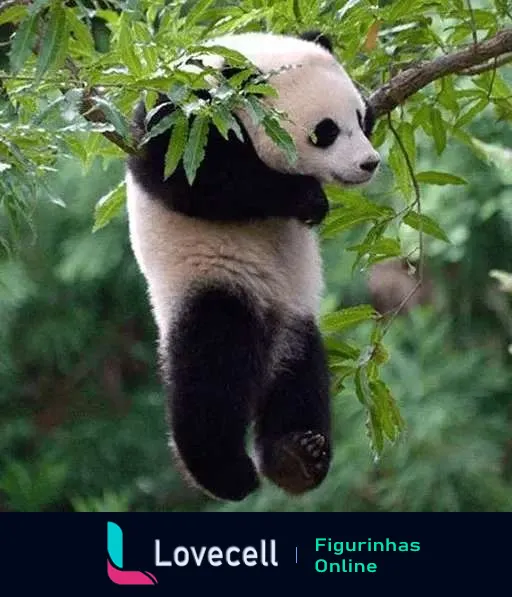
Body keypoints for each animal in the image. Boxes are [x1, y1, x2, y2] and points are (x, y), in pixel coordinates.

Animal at [125, 30, 378, 500]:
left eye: (361, 116)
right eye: (326, 132)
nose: (369, 163)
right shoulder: (182, 117)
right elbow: (191, 177)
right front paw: (306, 199)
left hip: (294, 314)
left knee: (300, 375)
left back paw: (295, 457)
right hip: (210, 278)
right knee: (212, 369)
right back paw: (226, 472)